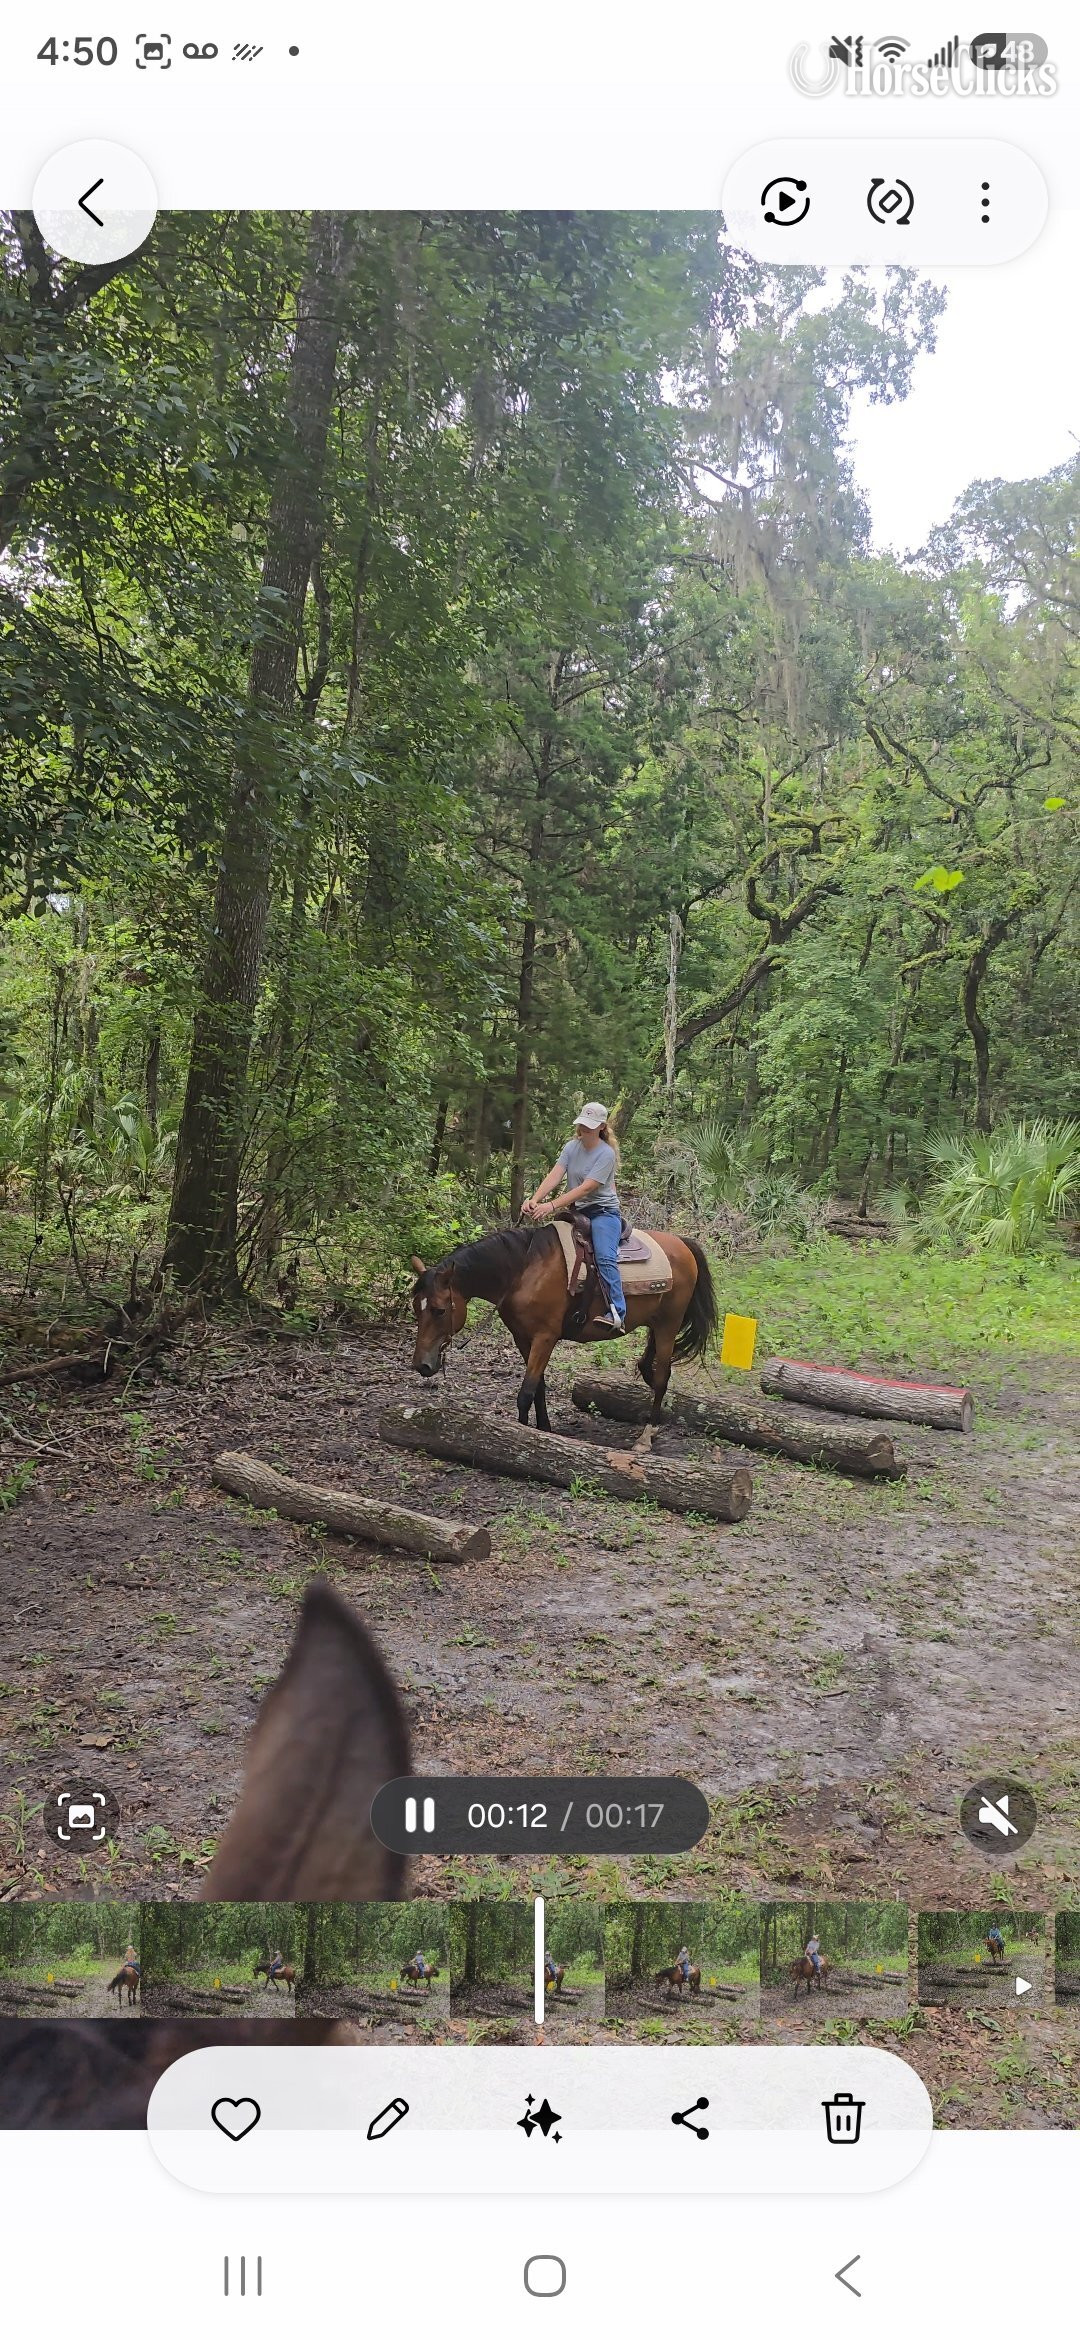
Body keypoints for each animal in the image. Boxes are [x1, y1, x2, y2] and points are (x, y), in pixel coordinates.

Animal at [410, 1215, 717, 1429]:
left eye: (439, 1310)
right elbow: (538, 1387)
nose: (422, 1365)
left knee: (663, 1375)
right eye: (416, 1308)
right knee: (648, 1366)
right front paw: (544, 1428)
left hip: (670, 1323)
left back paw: (647, 1435)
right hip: (656, 1322)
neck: (524, 1271)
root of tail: (682, 1243)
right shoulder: (523, 1338)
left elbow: (526, 1391)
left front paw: (523, 1433)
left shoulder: (545, 1337)